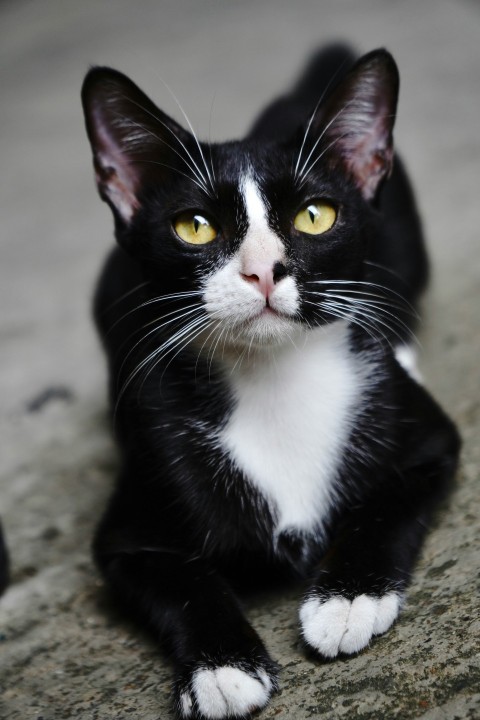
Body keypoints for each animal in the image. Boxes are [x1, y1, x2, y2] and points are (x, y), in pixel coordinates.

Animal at [82, 46, 462, 720]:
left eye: (315, 215)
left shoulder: (432, 443)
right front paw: (221, 668)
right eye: (195, 227)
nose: (263, 270)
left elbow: (389, 504)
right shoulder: (129, 524)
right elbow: (181, 578)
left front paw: (347, 600)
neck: (276, 376)